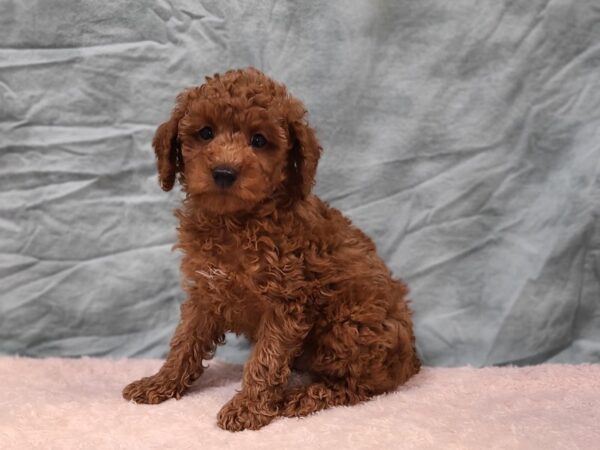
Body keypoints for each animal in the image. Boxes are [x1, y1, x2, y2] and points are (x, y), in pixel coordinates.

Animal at [123, 68, 422, 430]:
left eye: (259, 141)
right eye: (206, 133)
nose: (224, 172)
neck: (235, 222)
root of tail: (412, 361)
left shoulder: (286, 301)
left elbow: (266, 359)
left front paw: (248, 407)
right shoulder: (206, 291)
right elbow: (185, 341)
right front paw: (160, 382)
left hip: (347, 326)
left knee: (355, 386)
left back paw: (301, 397)